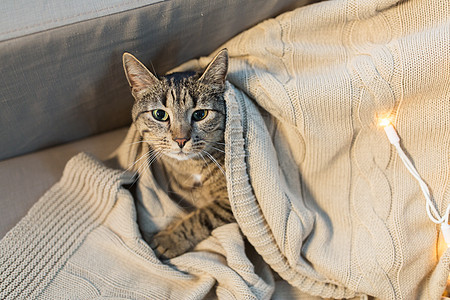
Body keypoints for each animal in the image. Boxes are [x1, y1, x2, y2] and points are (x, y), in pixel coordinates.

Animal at [123, 49, 236, 260]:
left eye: (200, 114)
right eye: (160, 115)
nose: (181, 140)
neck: (192, 167)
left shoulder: (232, 202)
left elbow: (203, 216)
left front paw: (169, 240)